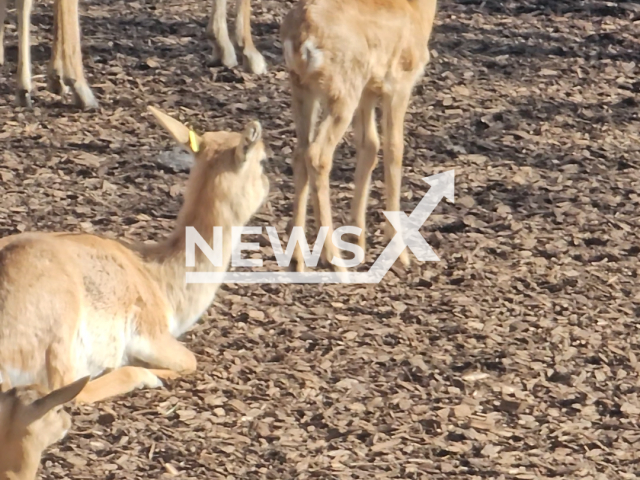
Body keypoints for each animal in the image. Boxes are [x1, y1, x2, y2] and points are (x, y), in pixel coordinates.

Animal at [0, 106, 270, 404]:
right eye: (263, 161)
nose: (270, 182)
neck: (160, 278)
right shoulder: (151, 334)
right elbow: (190, 360)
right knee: (68, 387)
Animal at [280, 0, 438, 271]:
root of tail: (301, 38)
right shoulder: (399, 83)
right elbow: (394, 150)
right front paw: (399, 254)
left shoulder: (369, 90)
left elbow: (369, 146)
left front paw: (358, 241)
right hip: (343, 90)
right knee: (317, 155)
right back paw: (334, 262)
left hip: (303, 89)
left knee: (300, 152)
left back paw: (298, 259)